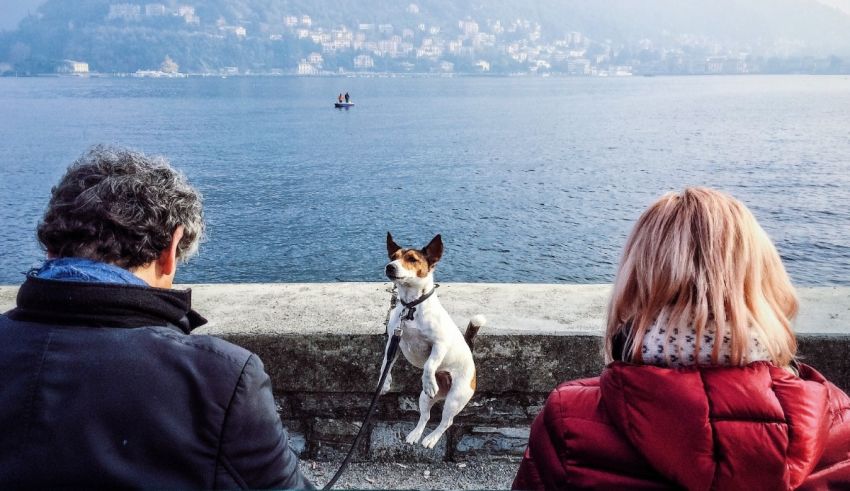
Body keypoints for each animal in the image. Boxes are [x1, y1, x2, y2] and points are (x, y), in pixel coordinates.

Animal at [378, 234, 484, 450]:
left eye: (411, 259)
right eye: (393, 256)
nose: (390, 266)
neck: (411, 307)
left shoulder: (439, 345)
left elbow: (429, 364)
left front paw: (428, 380)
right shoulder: (393, 341)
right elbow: (386, 363)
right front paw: (384, 383)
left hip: (455, 399)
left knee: (445, 422)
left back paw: (431, 438)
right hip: (424, 398)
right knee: (425, 417)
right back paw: (416, 434)